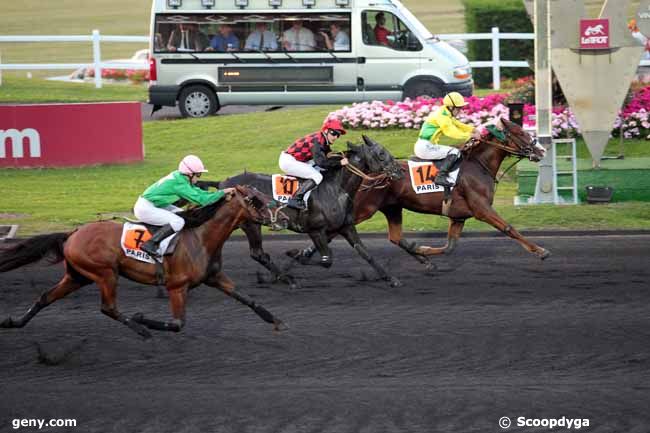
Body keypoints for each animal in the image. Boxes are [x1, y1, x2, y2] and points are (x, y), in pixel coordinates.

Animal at [0, 185, 286, 338]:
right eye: (254, 199)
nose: (280, 218)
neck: (200, 237)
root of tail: (73, 233)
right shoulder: (177, 287)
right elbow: (177, 324)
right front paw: (144, 319)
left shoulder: (214, 277)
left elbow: (247, 299)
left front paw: (276, 320)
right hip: (105, 273)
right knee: (107, 308)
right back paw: (140, 328)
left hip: (77, 275)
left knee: (45, 297)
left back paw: (13, 322)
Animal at [208, 136, 402, 286]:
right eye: (381, 154)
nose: (400, 170)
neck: (335, 189)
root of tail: (222, 183)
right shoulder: (315, 230)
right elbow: (327, 260)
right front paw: (297, 255)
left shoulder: (346, 227)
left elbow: (364, 252)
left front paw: (391, 279)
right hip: (250, 223)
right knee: (258, 253)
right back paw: (287, 279)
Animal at [292, 118, 548, 266]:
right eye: (521, 133)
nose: (542, 150)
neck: (477, 165)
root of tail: (364, 172)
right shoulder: (481, 209)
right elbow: (509, 228)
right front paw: (540, 251)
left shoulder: (458, 216)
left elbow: (450, 247)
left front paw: (423, 249)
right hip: (364, 208)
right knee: (333, 230)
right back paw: (305, 252)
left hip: (391, 207)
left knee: (395, 237)